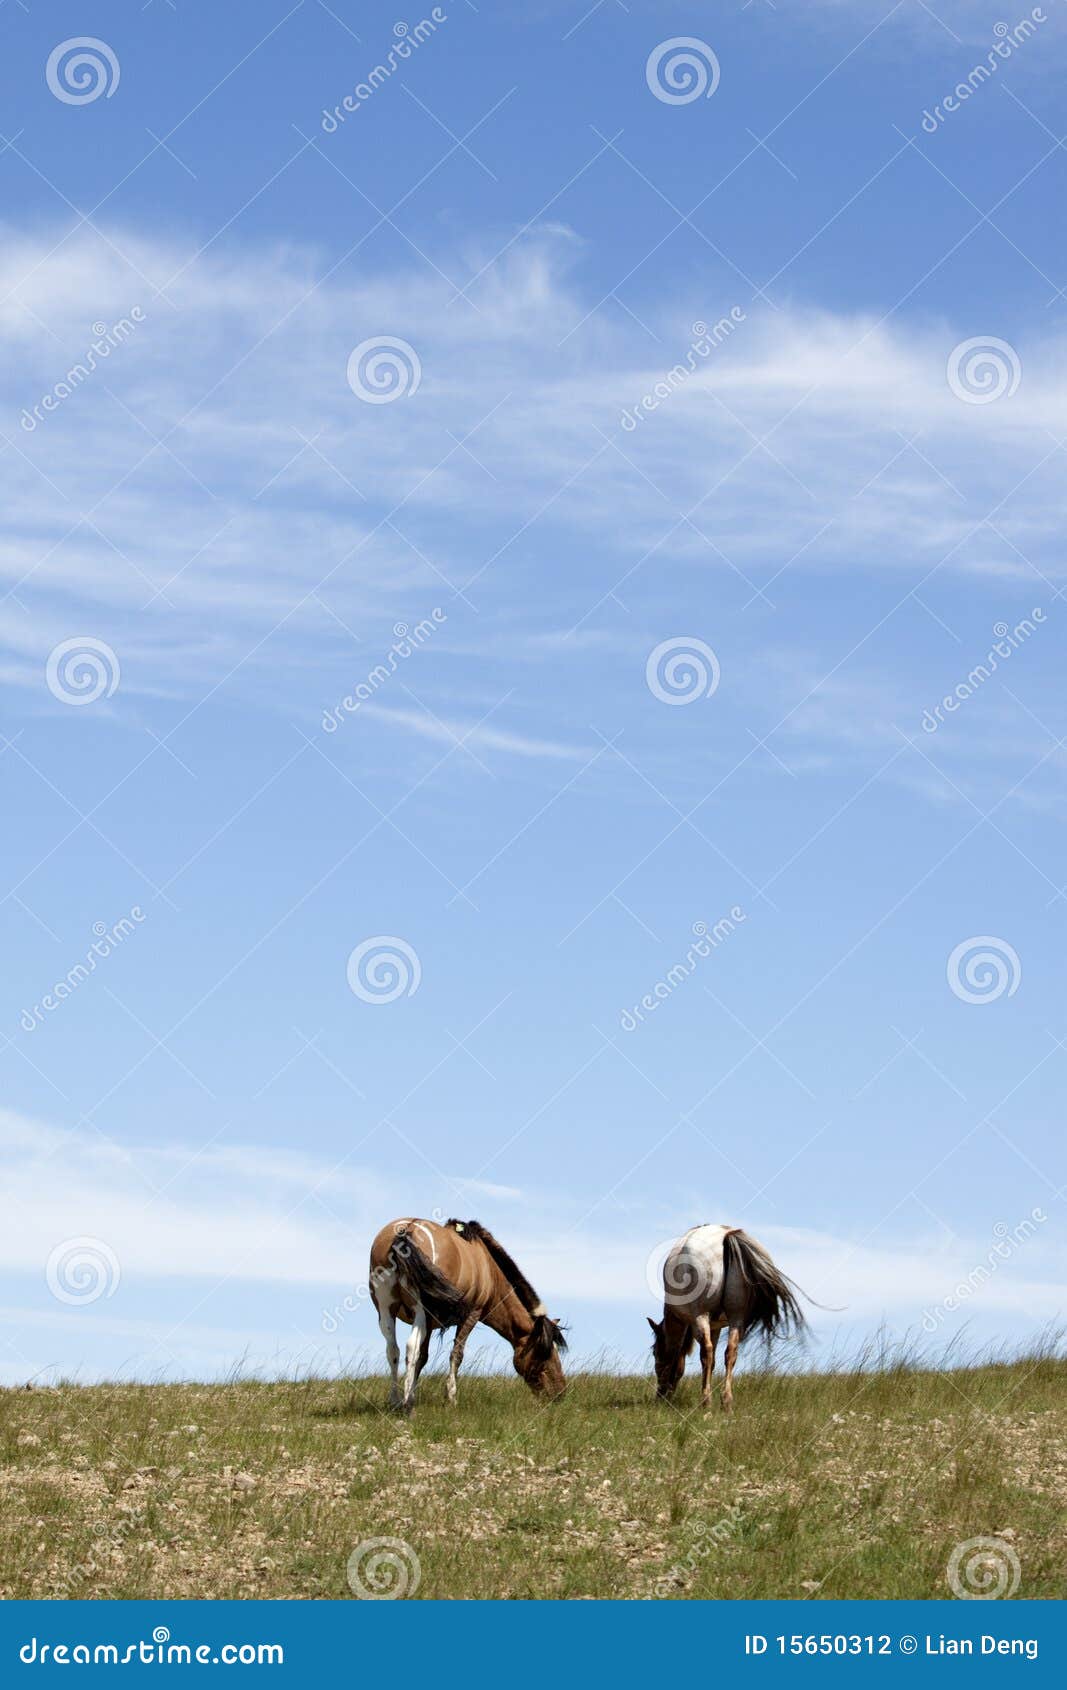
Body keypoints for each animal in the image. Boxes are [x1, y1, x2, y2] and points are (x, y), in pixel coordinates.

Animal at [366, 1216, 568, 1412]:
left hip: (386, 1310)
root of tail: (406, 1230)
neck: (489, 1269)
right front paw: (450, 1397)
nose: (560, 1394)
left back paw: (395, 1400)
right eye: (545, 1353)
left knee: (393, 1350)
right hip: (420, 1311)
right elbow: (455, 1355)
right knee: (411, 1347)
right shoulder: (470, 1315)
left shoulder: (429, 1324)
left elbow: (423, 1357)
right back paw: (407, 1404)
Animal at [645, 1230, 804, 1412]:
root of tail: (727, 1235)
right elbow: (714, 1361)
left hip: (701, 1316)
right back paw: (726, 1402)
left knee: (706, 1351)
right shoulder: (716, 1327)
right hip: (736, 1318)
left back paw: (706, 1401)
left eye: (655, 1353)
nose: (660, 1395)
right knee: (731, 1352)